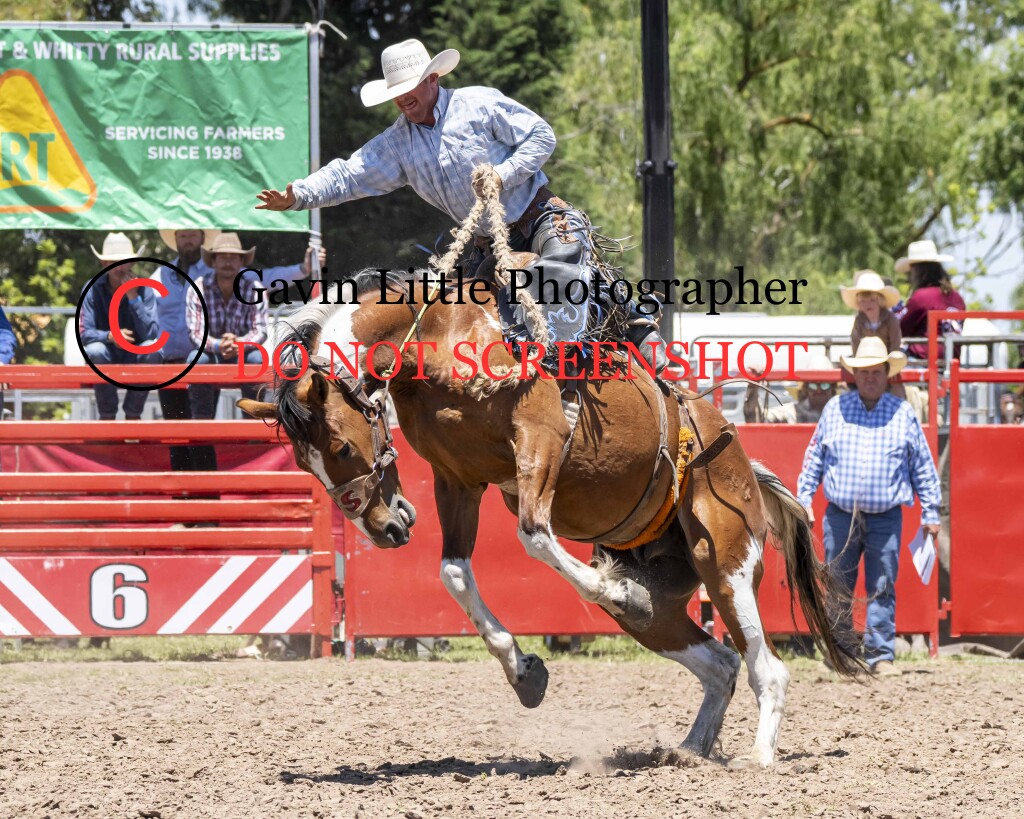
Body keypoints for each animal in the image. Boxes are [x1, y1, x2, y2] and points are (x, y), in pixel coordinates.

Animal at [240, 269, 862, 767]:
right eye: (304, 462)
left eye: (341, 446)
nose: (382, 528)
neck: (445, 336)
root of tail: (741, 462)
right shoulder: (456, 479)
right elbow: (455, 572)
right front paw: (525, 674)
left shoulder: (540, 440)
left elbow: (534, 536)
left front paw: (612, 590)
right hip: (665, 608)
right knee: (718, 662)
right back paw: (689, 749)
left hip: (724, 561)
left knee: (764, 667)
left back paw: (757, 757)